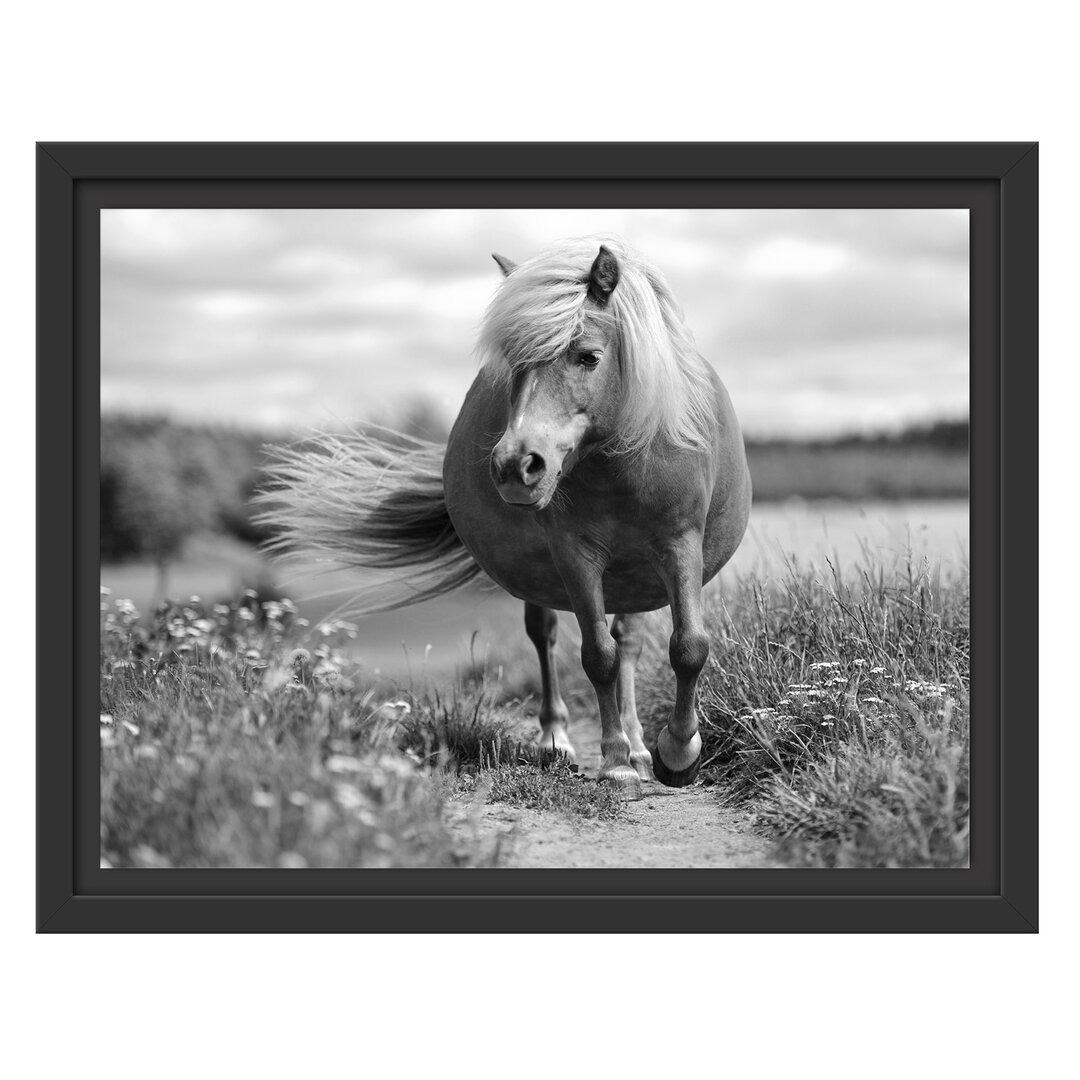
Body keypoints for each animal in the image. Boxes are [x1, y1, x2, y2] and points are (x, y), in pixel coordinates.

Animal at [261, 238, 751, 803]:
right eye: (514, 366)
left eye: (588, 356)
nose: (517, 465)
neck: (624, 461)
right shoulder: (575, 555)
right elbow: (597, 656)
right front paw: (614, 762)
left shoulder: (679, 544)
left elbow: (687, 647)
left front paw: (676, 752)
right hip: (547, 577)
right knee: (548, 636)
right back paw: (561, 742)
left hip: (635, 575)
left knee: (627, 641)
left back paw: (639, 746)